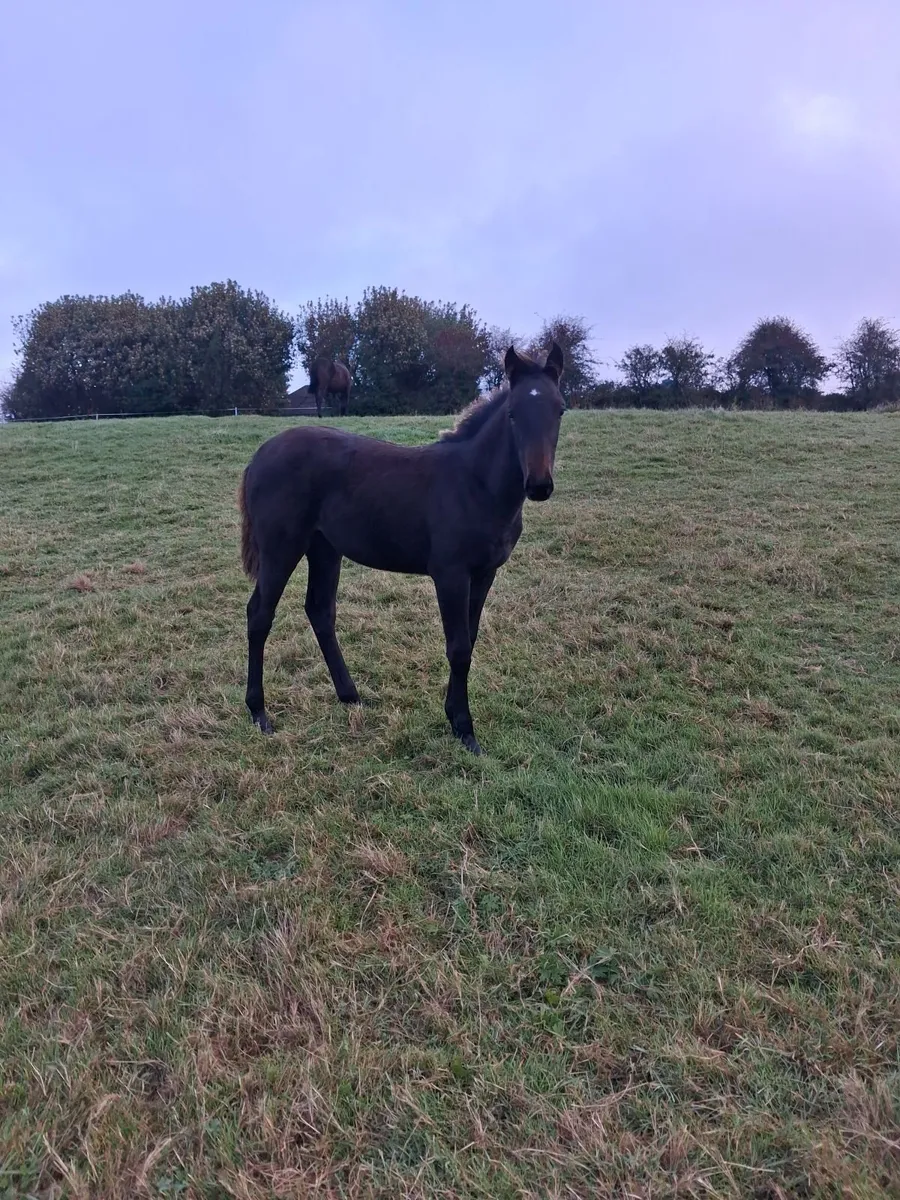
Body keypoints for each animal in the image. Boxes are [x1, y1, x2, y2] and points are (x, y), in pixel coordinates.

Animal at [238, 343, 566, 755]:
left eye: (560, 409)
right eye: (513, 414)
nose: (539, 485)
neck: (475, 485)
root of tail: (258, 456)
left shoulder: (485, 573)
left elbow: (470, 640)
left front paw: (454, 716)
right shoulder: (451, 574)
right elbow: (458, 647)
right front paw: (465, 729)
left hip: (325, 548)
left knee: (320, 611)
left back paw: (350, 695)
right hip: (281, 547)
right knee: (259, 615)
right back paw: (259, 712)